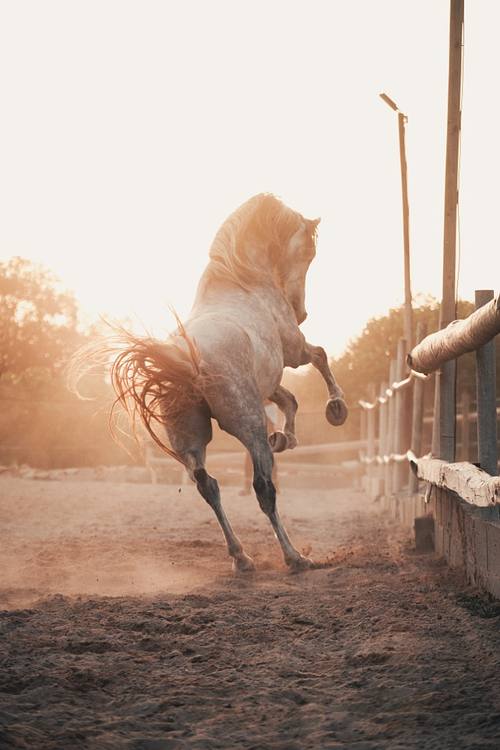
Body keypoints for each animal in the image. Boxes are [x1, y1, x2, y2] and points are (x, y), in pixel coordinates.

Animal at [101, 194, 348, 572]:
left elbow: (288, 399)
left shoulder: (266, 380)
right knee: (263, 489)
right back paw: (293, 556)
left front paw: (286, 437)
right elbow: (319, 357)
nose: (301, 312)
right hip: (248, 427)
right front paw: (336, 408)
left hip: (190, 440)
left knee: (208, 486)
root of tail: (185, 360)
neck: (241, 281)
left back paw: (241, 556)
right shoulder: (293, 350)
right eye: (309, 251)